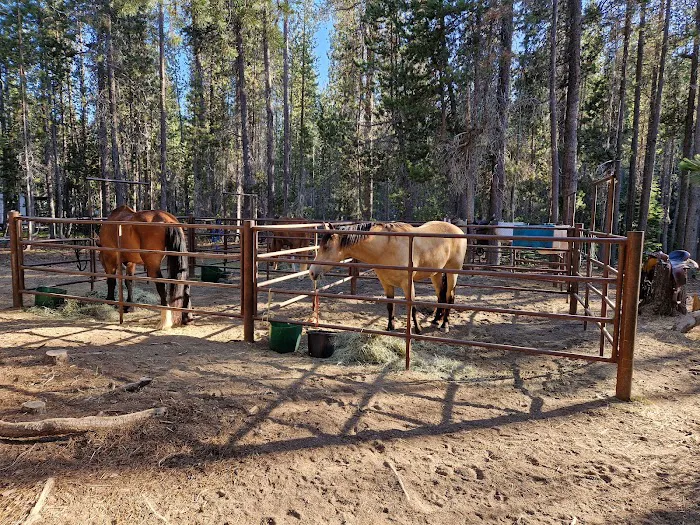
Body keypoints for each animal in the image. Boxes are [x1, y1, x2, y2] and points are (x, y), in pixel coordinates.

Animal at [308, 221, 467, 333]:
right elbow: (390, 306)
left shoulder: (407, 283)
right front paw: (390, 327)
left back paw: (445, 324)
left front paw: (417, 330)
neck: (387, 247)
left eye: (326, 247)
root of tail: (458, 230)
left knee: (450, 297)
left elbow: (412, 307)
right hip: (436, 273)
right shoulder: (386, 283)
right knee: (441, 295)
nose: (311, 272)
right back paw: (435, 320)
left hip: (452, 272)